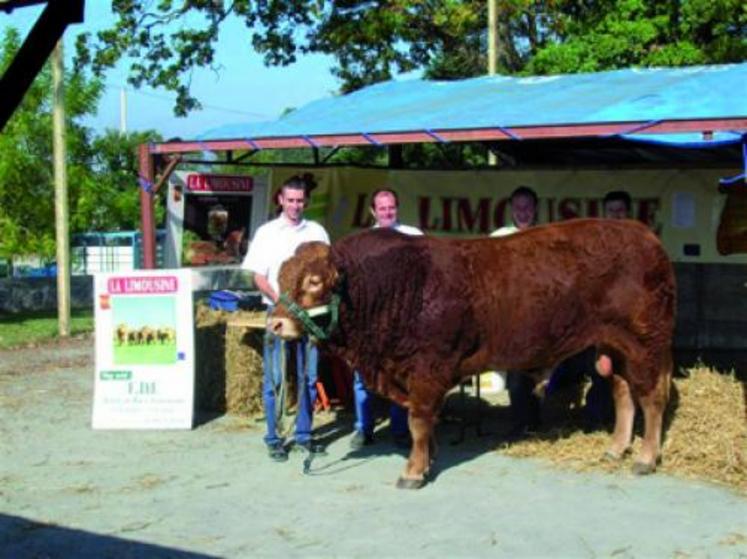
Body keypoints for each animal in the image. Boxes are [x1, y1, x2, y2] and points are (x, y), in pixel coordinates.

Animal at [270, 219, 676, 490]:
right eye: (280, 277)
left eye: (314, 281)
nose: (274, 323)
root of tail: (645, 236)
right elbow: (426, 425)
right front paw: (428, 459)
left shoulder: (427, 370)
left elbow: (418, 422)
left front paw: (413, 472)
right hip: (612, 347)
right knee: (623, 393)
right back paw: (616, 448)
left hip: (645, 345)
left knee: (652, 397)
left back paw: (645, 457)